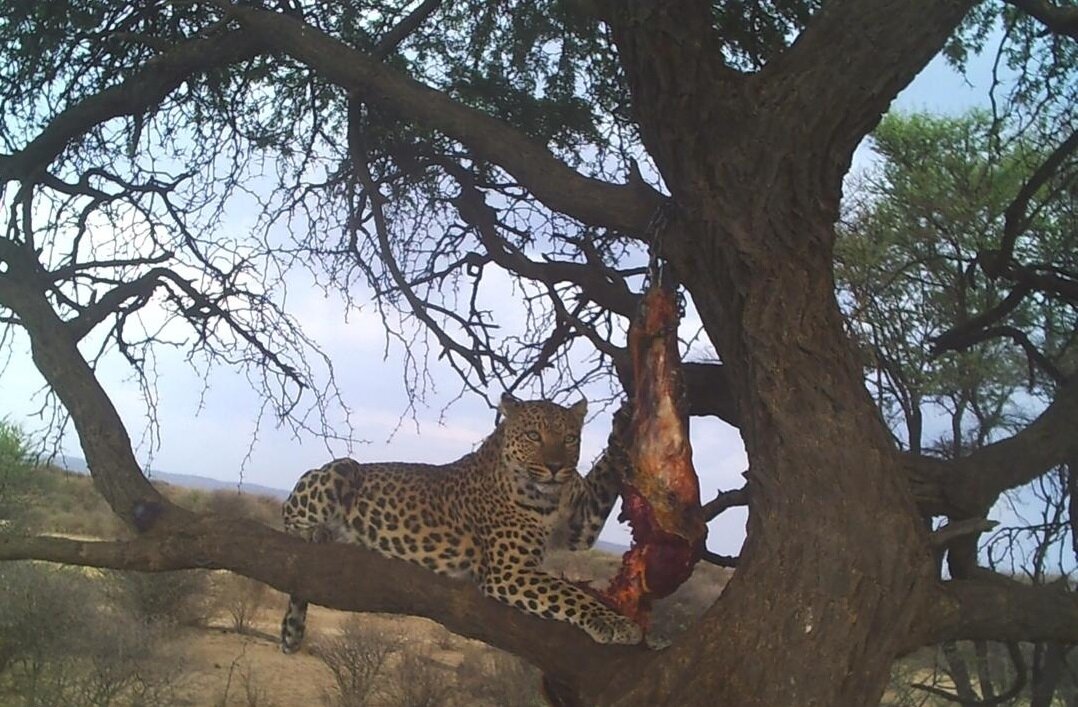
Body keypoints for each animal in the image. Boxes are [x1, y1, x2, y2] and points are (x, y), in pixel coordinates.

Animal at [279, 394, 640, 652]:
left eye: (569, 439)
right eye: (533, 435)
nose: (555, 467)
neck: (552, 497)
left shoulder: (582, 523)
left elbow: (604, 476)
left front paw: (622, 428)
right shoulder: (509, 570)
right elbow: (571, 594)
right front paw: (616, 624)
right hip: (344, 468)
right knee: (287, 516)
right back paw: (318, 532)